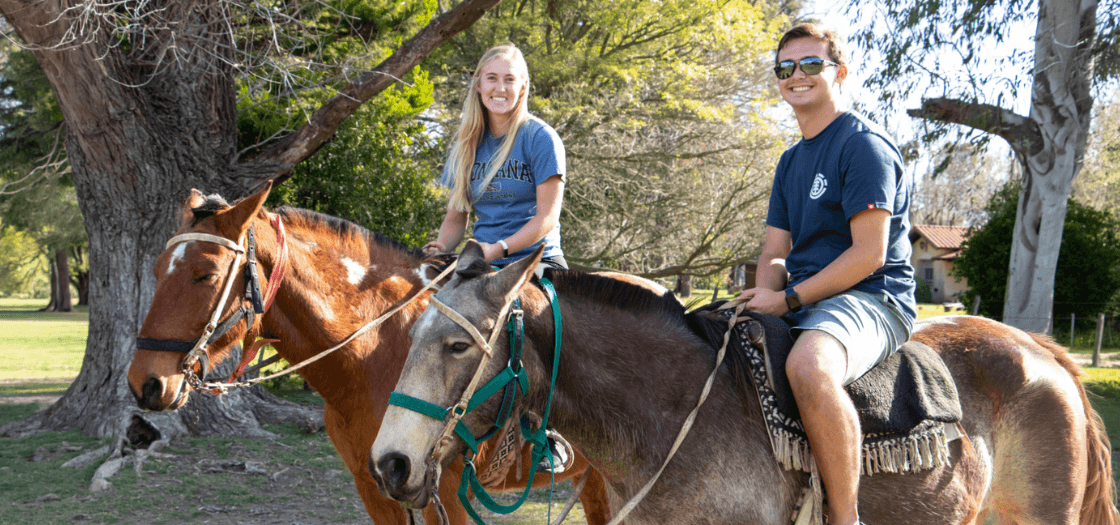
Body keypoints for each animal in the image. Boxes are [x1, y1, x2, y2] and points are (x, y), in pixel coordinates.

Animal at [126, 184, 617, 525]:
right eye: (157, 269)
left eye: (205, 274)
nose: (145, 382)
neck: (376, 355)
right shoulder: (375, 487)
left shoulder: (446, 491)